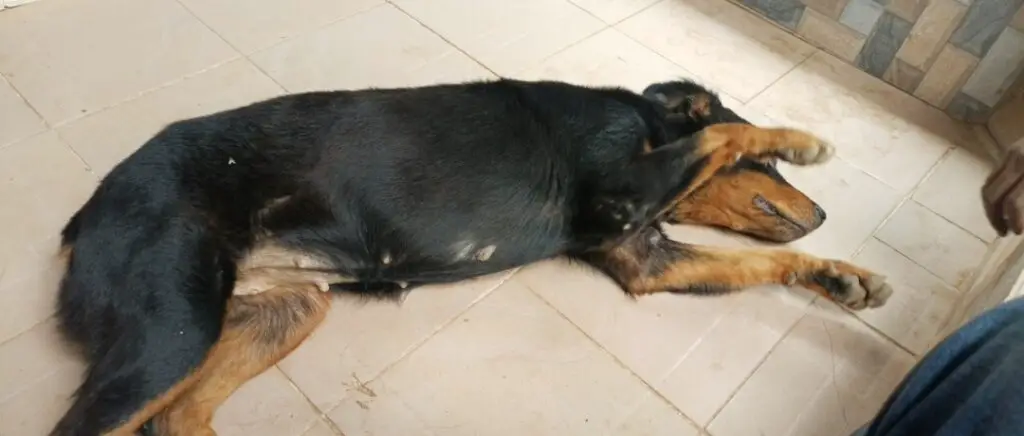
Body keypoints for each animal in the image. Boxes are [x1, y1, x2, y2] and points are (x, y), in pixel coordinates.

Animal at [51, 79, 892, 436]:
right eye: (772, 173)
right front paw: (801, 139)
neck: (646, 122)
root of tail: (88, 210)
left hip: (285, 308)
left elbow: (759, 265)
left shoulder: (644, 257)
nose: (821, 215)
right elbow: (722, 133)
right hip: (172, 332)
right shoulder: (622, 191)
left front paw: (844, 275)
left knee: (179, 416)